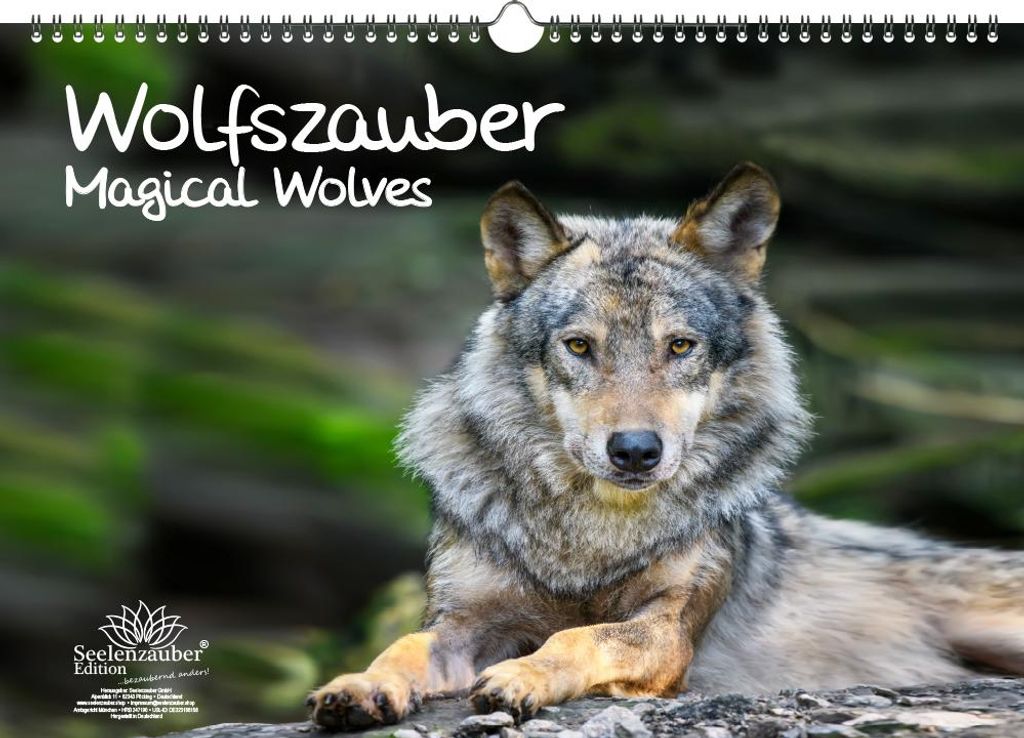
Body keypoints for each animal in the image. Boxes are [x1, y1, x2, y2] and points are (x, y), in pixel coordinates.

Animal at [308, 163, 1024, 731]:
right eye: (579, 346)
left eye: (680, 346)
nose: (633, 450)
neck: (593, 537)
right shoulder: (466, 621)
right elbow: (404, 646)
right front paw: (359, 686)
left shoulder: (668, 630)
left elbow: (578, 635)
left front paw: (523, 677)